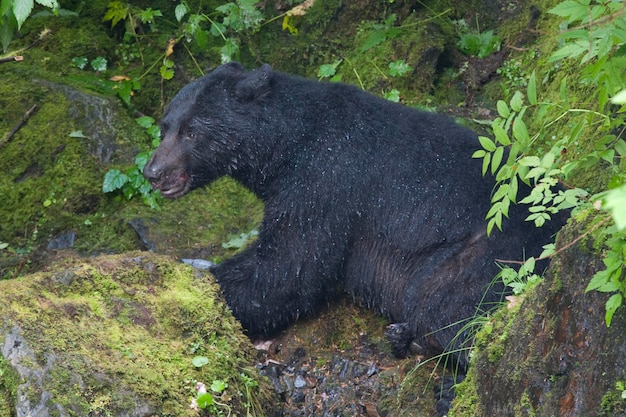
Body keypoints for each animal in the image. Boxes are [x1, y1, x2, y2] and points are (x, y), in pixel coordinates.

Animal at [143, 61, 564, 412]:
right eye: (165, 126)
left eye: (192, 131)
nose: (153, 172)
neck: (287, 143)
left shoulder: (325, 182)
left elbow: (287, 271)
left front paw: (193, 280)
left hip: (488, 254)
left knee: (447, 306)